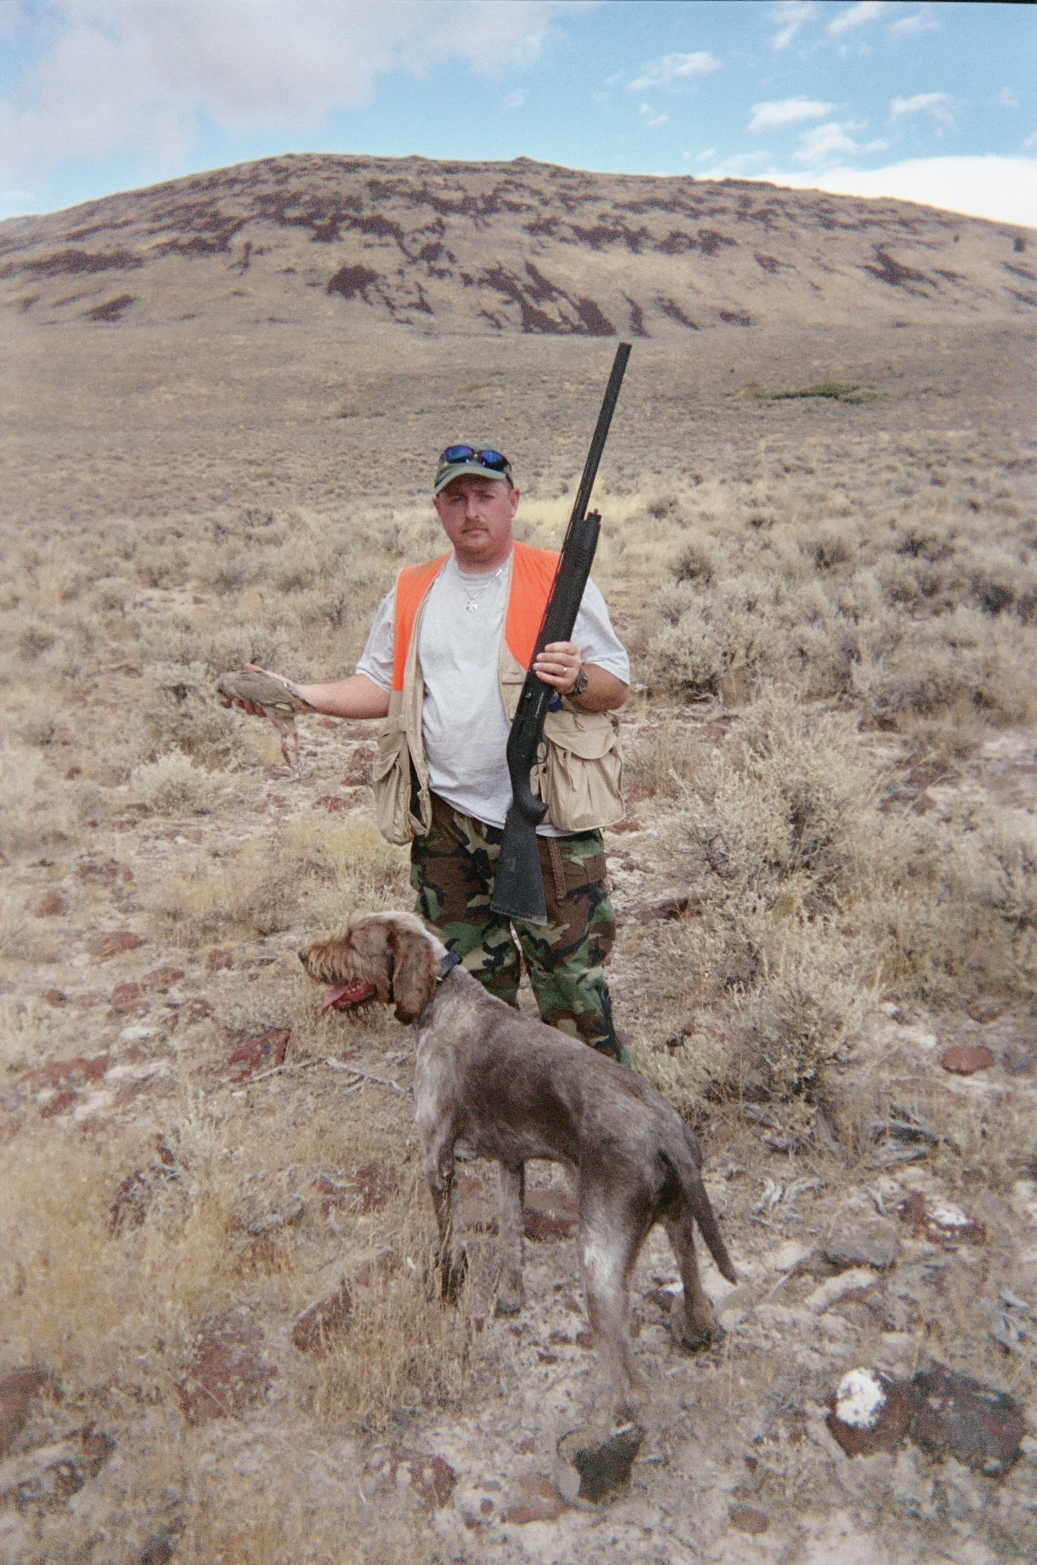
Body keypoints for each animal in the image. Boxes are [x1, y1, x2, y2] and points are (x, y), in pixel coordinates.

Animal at [300, 907, 738, 1421]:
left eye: (352, 939)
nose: (303, 954)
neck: (443, 996)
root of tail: (667, 1128)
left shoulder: (436, 1159)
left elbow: (450, 1247)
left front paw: (448, 1298)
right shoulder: (510, 1164)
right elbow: (511, 1236)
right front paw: (510, 1298)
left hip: (599, 1259)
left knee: (630, 1376)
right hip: (679, 1220)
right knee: (696, 1291)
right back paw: (697, 1331)